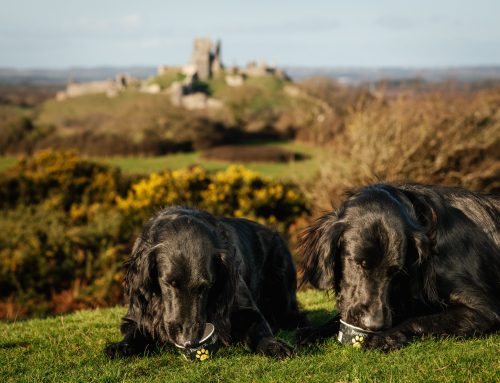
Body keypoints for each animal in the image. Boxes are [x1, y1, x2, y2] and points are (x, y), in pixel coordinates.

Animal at [104, 208, 304, 358]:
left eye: (206, 286)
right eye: (169, 283)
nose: (188, 340)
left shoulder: (246, 308)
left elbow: (259, 329)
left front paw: (273, 345)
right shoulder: (136, 313)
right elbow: (135, 331)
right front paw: (122, 346)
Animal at [298, 183, 498, 352]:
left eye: (395, 271)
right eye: (361, 263)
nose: (374, 324)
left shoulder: (485, 311)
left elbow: (426, 320)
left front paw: (383, 337)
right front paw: (312, 332)